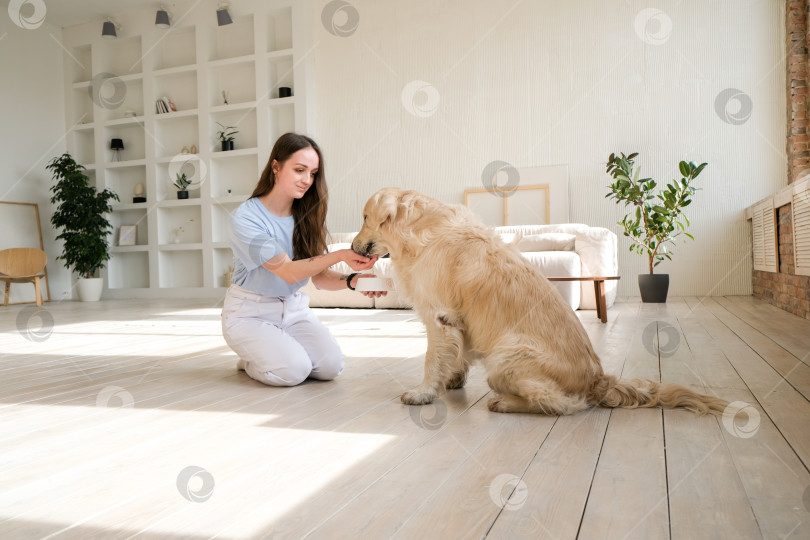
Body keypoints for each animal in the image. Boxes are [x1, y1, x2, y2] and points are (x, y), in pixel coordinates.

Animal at [350, 188, 728, 416]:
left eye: (365, 217)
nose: (352, 246)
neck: (417, 230)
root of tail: (598, 380)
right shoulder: (455, 321)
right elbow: (455, 355)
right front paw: (453, 378)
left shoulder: (438, 316)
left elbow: (431, 361)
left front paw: (423, 393)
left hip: (506, 356)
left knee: (561, 404)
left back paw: (504, 403)